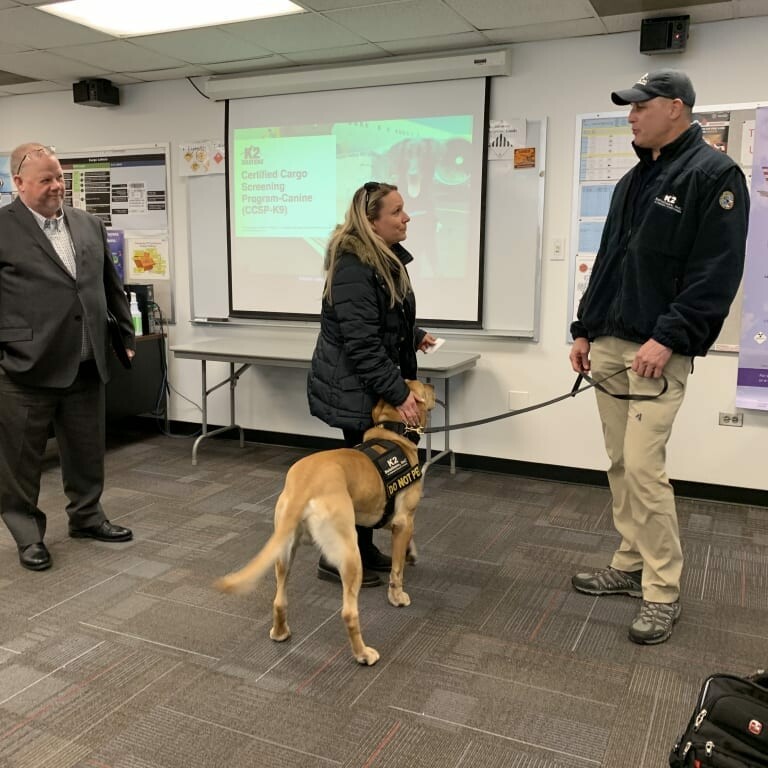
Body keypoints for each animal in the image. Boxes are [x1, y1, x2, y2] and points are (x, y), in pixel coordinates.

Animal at [213, 380, 436, 664]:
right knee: (349, 613)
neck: (392, 433)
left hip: (284, 553)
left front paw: (411, 551)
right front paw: (397, 596)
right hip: (349, 553)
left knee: (279, 600)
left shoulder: (388, 518)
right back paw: (363, 654)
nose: (431, 383)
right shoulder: (403, 519)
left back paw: (280, 632)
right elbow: (397, 570)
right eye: (423, 385)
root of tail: (304, 485)